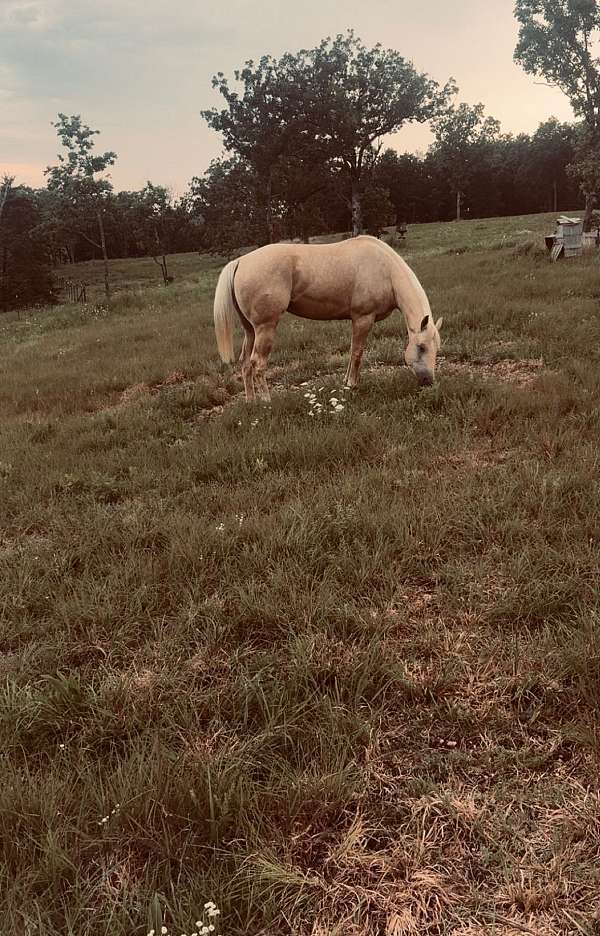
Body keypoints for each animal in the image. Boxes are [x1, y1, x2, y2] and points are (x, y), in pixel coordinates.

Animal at [213, 235, 442, 402]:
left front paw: (346, 381)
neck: (385, 270)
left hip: (250, 329)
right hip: (265, 328)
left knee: (245, 364)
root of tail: (240, 261)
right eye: (421, 347)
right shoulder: (363, 319)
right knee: (258, 364)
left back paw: (251, 402)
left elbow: (352, 352)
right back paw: (267, 402)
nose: (428, 381)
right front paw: (352, 384)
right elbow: (357, 353)